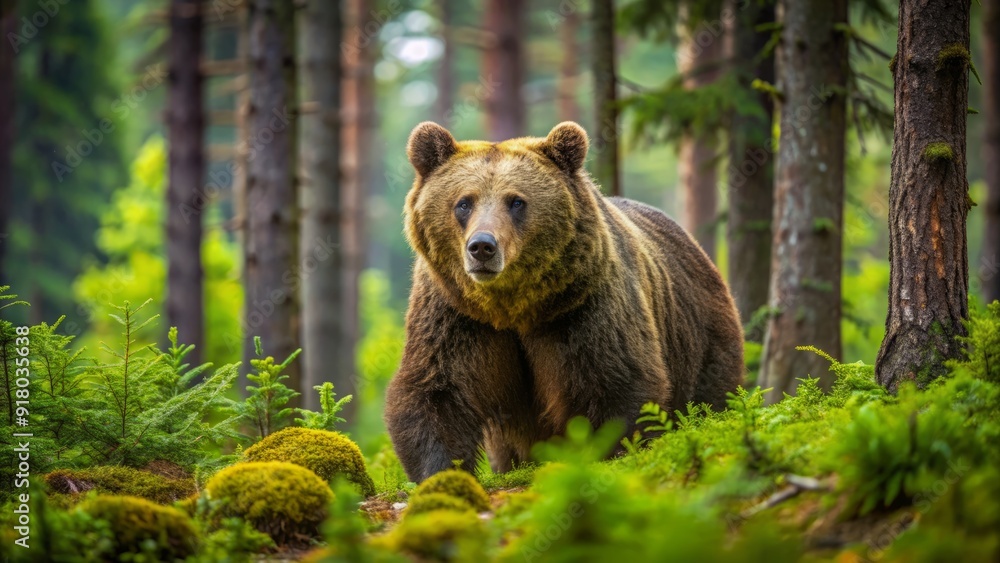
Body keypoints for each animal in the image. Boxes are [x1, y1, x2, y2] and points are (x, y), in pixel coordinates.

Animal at [385, 121, 744, 482]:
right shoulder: (455, 313)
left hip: (699, 334)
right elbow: (438, 390)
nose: (482, 246)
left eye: (516, 201)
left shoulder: (581, 306)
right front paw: (441, 472)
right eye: (464, 202)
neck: (512, 306)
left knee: (712, 394)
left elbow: (614, 382)